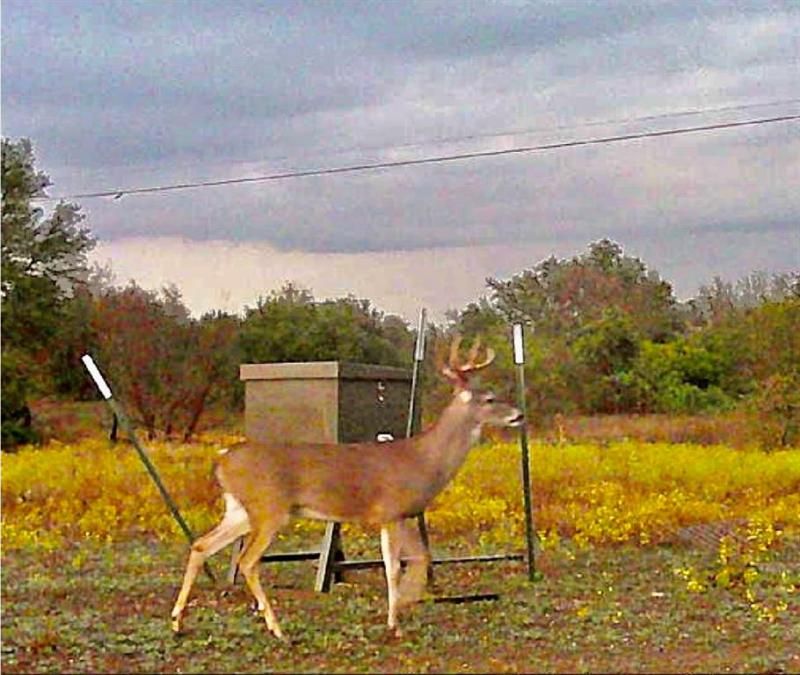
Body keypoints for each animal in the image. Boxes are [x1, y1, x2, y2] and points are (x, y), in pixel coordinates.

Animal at [170, 337, 524, 639]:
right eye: (490, 398)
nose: (518, 414)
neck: (424, 460)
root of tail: (222, 459)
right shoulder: (391, 511)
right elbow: (399, 567)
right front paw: (397, 619)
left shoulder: (397, 516)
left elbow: (409, 560)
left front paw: (401, 609)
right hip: (270, 509)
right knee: (246, 560)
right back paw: (276, 628)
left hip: (240, 509)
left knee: (201, 545)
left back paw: (177, 622)